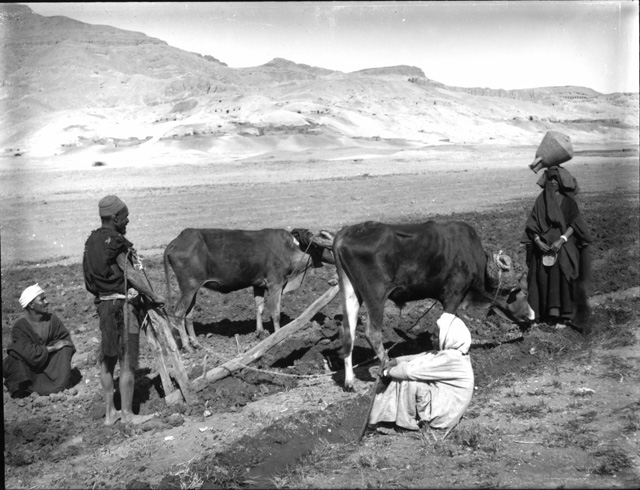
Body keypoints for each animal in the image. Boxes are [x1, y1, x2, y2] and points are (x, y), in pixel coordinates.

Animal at [164, 228, 324, 350]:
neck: (289, 248)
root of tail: (176, 241)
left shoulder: (258, 285)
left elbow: (259, 308)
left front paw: (260, 333)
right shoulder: (275, 283)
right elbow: (275, 313)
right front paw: (280, 338)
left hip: (193, 290)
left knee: (188, 315)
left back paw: (197, 344)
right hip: (189, 287)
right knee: (179, 313)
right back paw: (187, 346)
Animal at [332, 220, 532, 388]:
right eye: (523, 292)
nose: (532, 315)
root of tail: (348, 232)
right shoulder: (453, 296)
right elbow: (444, 327)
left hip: (351, 292)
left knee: (348, 332)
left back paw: (349, 381)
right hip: (376, 297)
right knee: (372, 333)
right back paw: (388, 367)